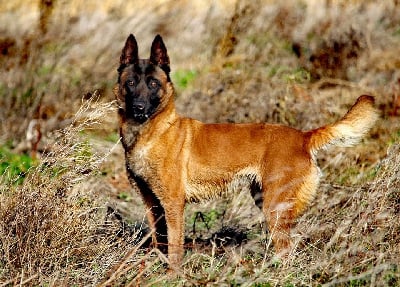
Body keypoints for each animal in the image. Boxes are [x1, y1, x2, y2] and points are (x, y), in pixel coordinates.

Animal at [115, 34, 378, 268]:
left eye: (153, 84)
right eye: (130, 83)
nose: (139, 108)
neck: (152, 133)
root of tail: (303, 137)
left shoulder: (173, 204)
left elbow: (175, 249)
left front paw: (173, 276)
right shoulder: (152, 205)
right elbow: (159, 243)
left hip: (275, 209)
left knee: (287, 252)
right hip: (266, 202)